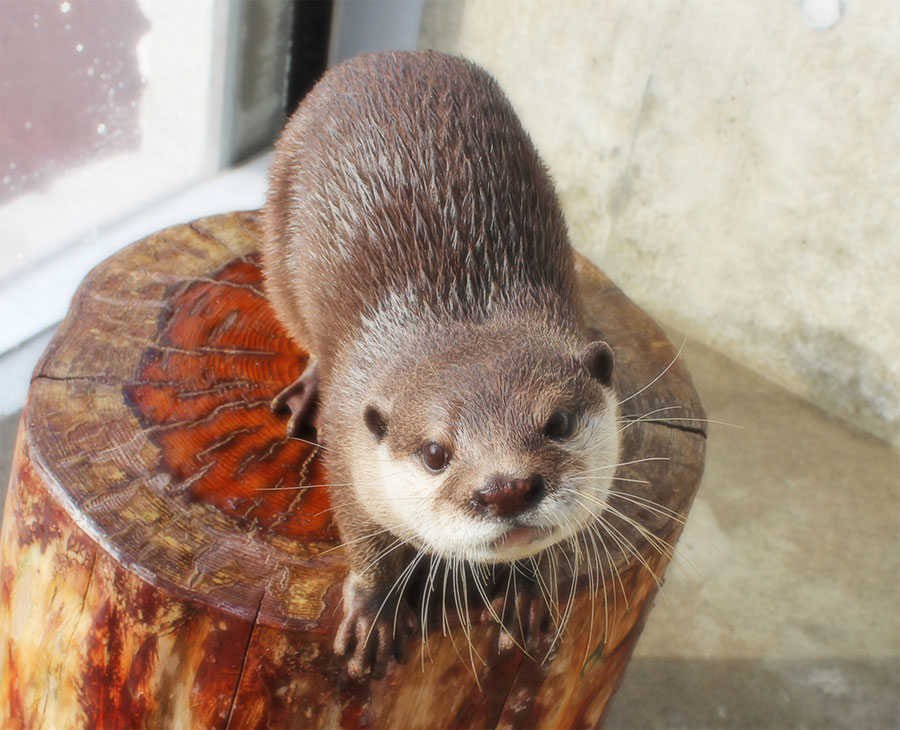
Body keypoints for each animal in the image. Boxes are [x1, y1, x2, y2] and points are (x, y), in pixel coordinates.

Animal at [264, 51, 624, 676]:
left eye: (557, 423)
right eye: (435, 454)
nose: (506, 489)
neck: (462, 311)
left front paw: (527, 589)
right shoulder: (349, 441)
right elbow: (364, 535)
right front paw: (376, 614)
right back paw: (305, 390)